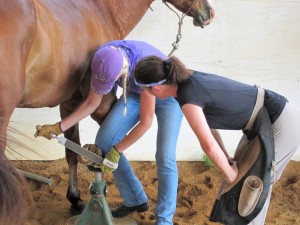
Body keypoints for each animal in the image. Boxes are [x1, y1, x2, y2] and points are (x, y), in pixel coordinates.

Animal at [0, 0, 216, 224]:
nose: (209, 13)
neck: (101, 10)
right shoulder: (102, 104)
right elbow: (113, 147)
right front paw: (136, 200)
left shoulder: (70, 103)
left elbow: (72, 151)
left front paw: (75, 200)